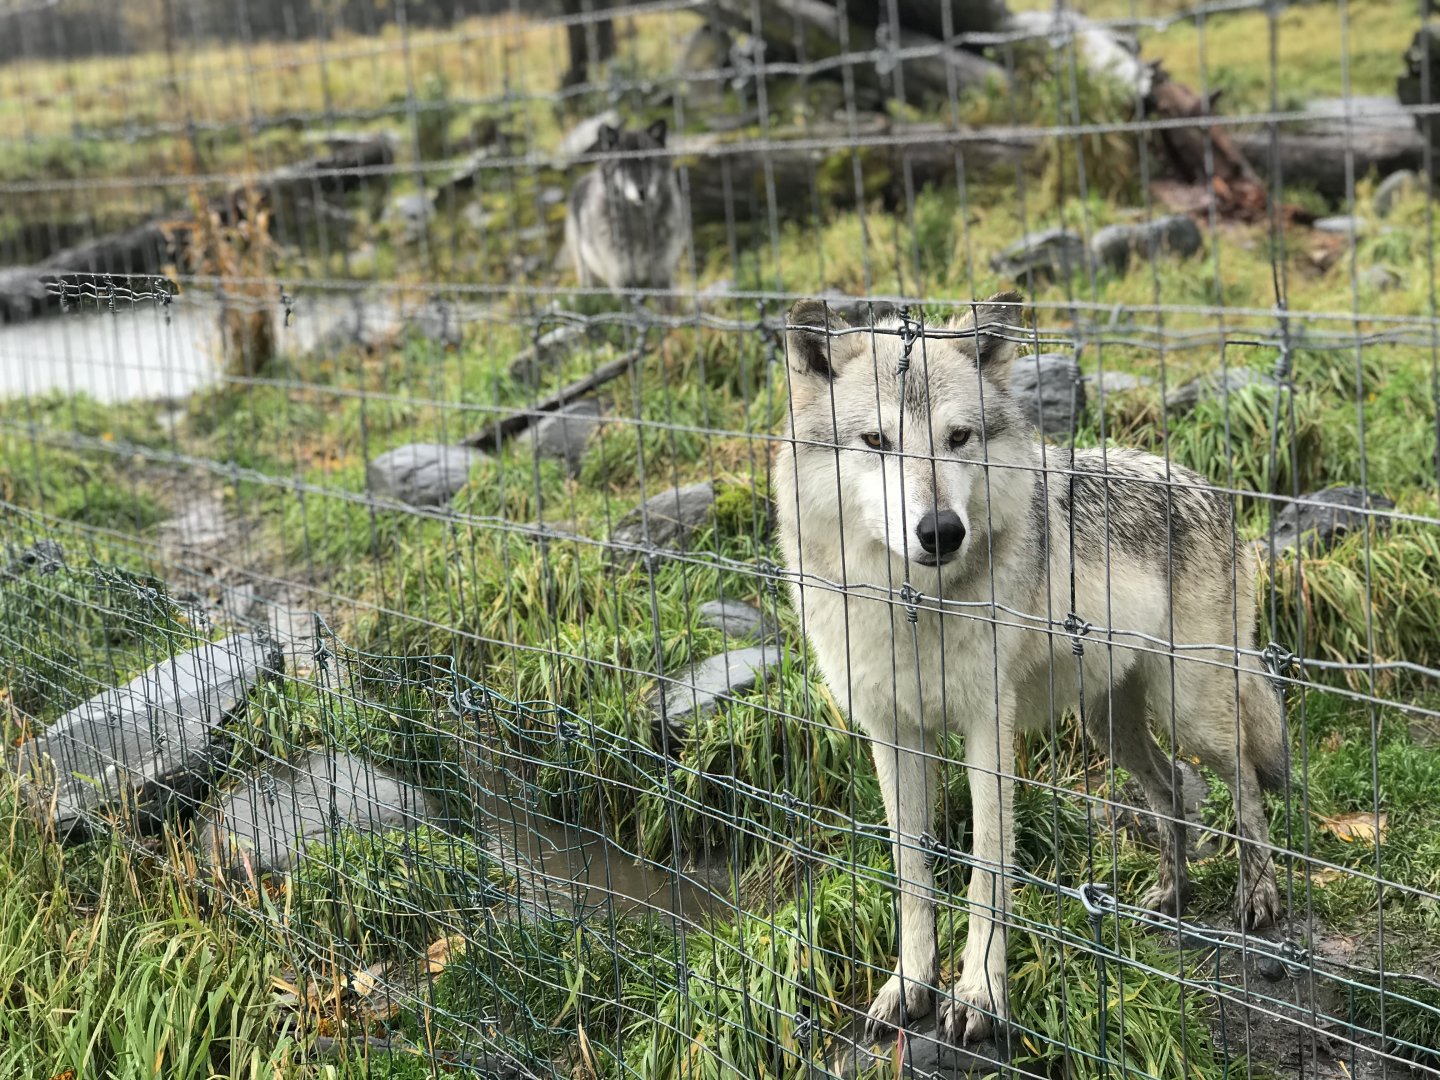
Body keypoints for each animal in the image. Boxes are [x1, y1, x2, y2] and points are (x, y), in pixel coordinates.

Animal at [563, 119, 684, 295]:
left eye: (647, 160)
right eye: (622, 165)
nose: (642, 190)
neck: (639, 226)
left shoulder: (663, 278)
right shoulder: (623, 283)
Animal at [771, 292, 1289, 1044]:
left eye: (959, 438)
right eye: (876, 443)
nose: (941, 531)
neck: (912, 609)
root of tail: (1207, 487)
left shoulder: (990, 727)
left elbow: (987, 867)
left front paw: (979, 995)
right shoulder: (892, 735)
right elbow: (911, 870)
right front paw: (910, 985)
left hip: (1189, 707)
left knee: (1245, 785)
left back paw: (1260, 898)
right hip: (1110, 725)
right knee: (1172, 792)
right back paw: (1170, 894)